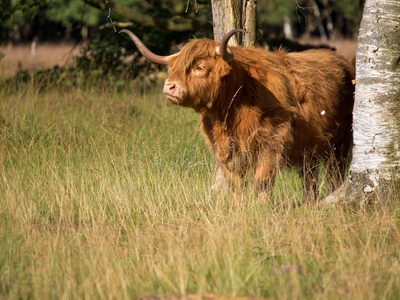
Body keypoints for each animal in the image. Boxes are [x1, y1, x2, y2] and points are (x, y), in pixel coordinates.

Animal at [119, 28, 354, 202]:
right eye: (174, 68)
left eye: (200, 67)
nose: (169, 86)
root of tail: (341, 60)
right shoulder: (225, 149)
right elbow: (236, 183)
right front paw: (238, 208)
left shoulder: (272, 143)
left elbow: (262, 181)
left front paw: (260, 209)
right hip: (309, 148)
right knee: (309, 177)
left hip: (340, 144)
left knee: (334, 175)